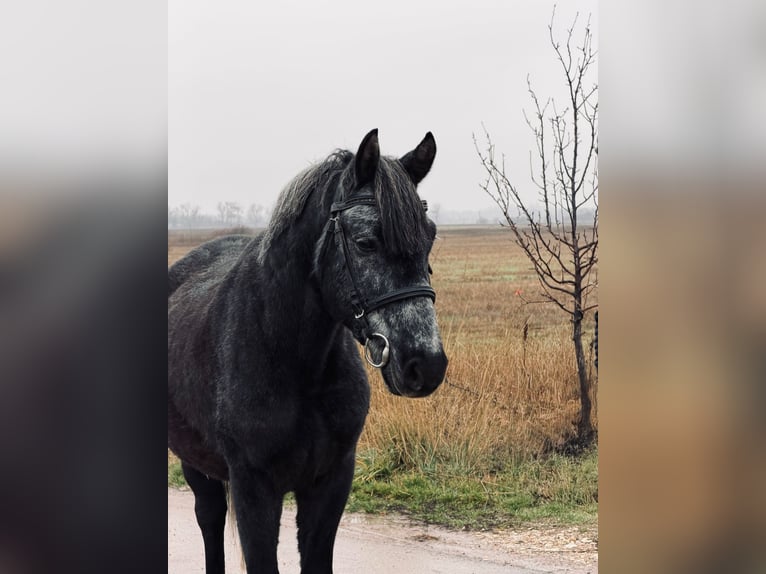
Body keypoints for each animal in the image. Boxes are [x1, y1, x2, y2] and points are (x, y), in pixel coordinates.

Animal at [168, 129, 448, 573]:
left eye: (431, 236)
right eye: (365, 242)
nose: (426, 364)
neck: (295, 363)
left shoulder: (330, 484)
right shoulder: (254, 490)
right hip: (197, 463)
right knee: (209, 521)